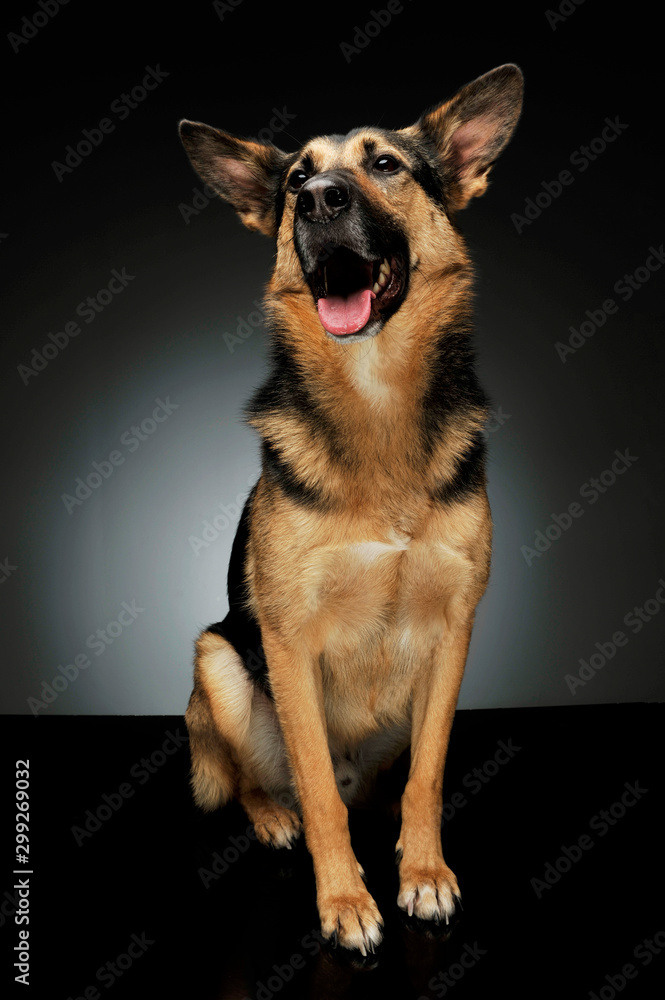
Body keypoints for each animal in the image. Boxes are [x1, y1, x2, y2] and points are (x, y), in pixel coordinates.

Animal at [179, 62, 520, 952]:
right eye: (296, 176)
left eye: (386, 166)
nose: (318, 199)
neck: (375, 398)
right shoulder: (287, 639)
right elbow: (318, 797)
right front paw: (343, 902)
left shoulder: (453, 631)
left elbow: (428, 777)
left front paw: (423, 873)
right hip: (217, 659)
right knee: (258, 779)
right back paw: (271, 817)